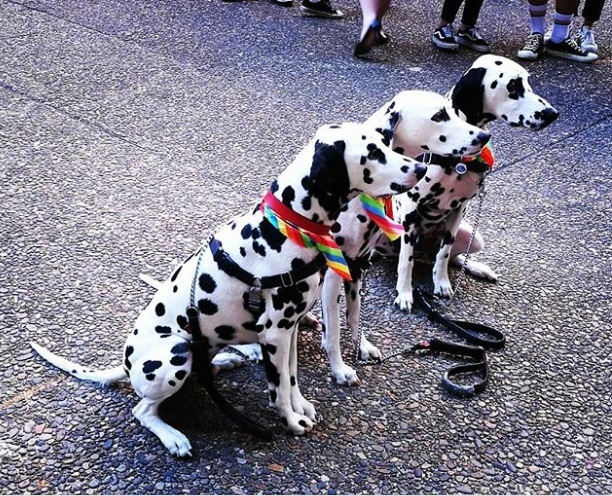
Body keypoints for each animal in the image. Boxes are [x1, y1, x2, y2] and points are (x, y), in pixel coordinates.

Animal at [31, 120, 428, 458]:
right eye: (372, 152)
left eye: (385, 143)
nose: (421, 169)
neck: (288, 227)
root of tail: (127, 365)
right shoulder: (275, 333)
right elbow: (279, 387)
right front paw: (291, 420)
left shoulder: (289, 330)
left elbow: (292, 378)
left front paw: (300, 406)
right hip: (173, 353)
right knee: (142, 409)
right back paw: (173, 436)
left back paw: (223, 361)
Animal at [392, 54, 560, 312]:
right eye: (513, 85)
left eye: (528, 82)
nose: (552, 113)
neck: (457, 159)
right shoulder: (410, 213)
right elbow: (406, 260)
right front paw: (404, 292)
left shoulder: (458, 210)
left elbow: (444, 253)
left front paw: (441, 282)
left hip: (473, 237)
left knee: (453, 256)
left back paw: (476, 267)